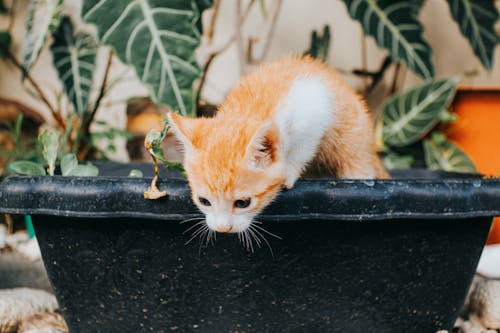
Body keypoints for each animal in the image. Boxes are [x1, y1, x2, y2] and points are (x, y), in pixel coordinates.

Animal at [168, 55, 386, 233]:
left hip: (355, 148)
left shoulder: (315, 105)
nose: (223, 228)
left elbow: (304, 145)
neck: (248, 108)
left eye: (243, 203)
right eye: (204, 201)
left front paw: (288, 170)